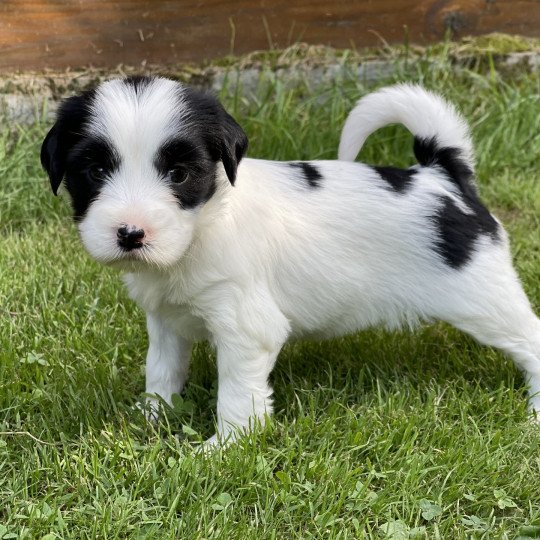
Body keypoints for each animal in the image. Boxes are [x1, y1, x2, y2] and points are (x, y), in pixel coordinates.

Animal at [41, 77, 540, 448]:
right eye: (95, 171)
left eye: (179, 174)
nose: (130, 233)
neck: (203, 228)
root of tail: (444, 177)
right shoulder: (167, 323)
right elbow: (161, 372)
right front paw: (150, 418)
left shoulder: (246, 329)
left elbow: (236, 395)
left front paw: (223, 448)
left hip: (484, 299)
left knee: (531, 341)